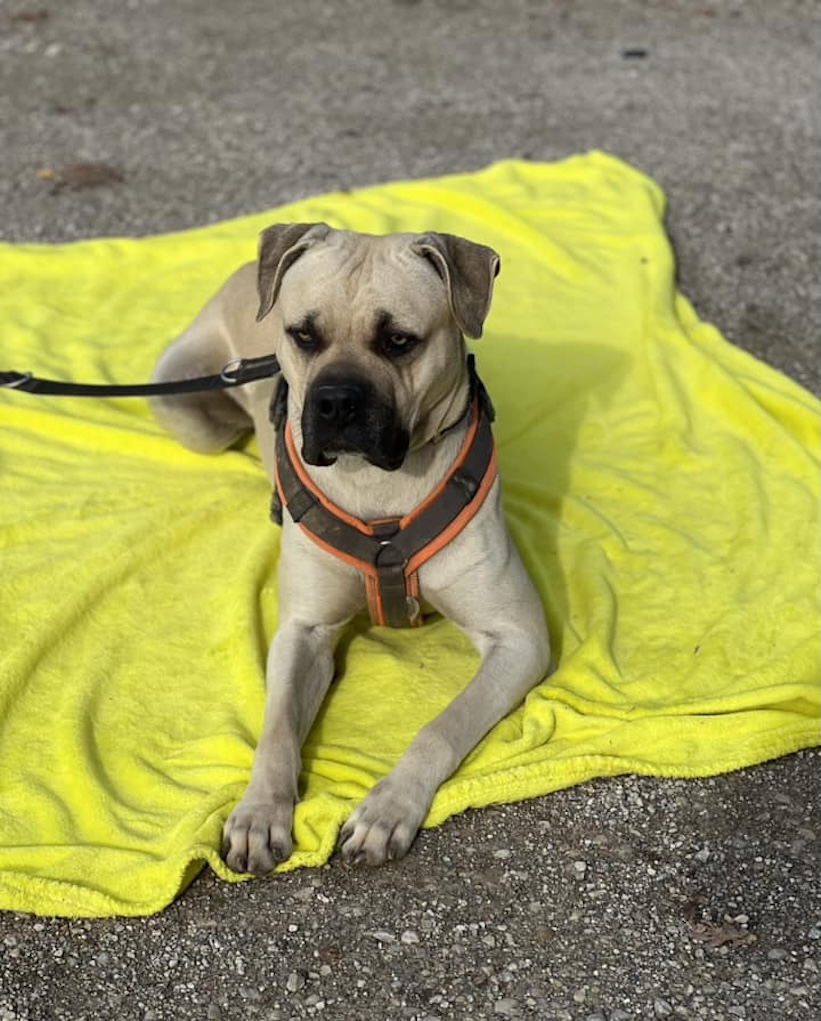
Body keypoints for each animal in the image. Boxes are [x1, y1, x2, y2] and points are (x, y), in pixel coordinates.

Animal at [150, 223, 551, 874]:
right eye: (303, 335)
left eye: (399, 341)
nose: (336, 401)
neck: (377, 483)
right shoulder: (304, 630)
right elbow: (277, 728)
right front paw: (258, 813)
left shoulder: (518, 637)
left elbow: (441, 726)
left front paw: (386, 810)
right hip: (179, 397)